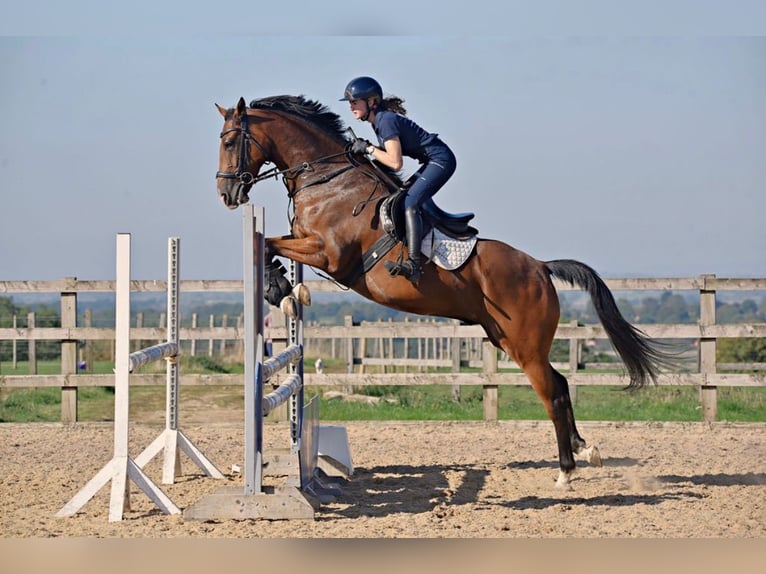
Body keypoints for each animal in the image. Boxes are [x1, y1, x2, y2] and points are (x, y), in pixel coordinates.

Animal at [215, 95, 673, 488]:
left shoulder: (328, 254)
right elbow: (272, 244)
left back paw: (565, 470)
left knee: (555, 394)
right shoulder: (308, 243)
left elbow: (270, 244)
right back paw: (584, 448)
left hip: (524, 345)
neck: (328, 180)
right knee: (559, 383)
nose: (227, 194)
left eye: (230, 140)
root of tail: (541, 268)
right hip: (505, 337)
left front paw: (281, 289)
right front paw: (284, 289)